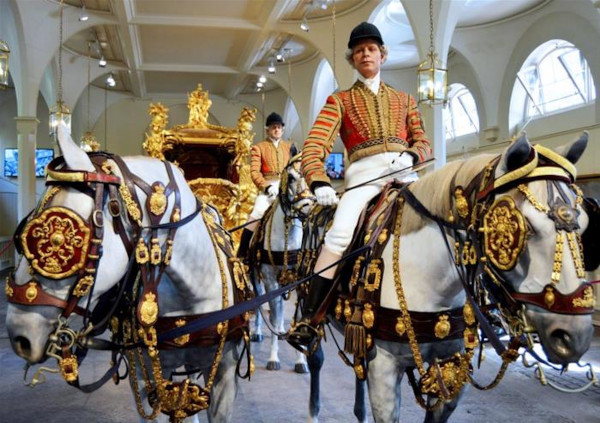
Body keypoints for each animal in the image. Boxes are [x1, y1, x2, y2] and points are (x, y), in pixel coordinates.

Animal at [250, 154, 314, 372]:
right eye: (292, 177)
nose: (307, 207)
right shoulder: (271, 281)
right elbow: (275, 314)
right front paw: (273, 357)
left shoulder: (301, 282)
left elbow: (298, 317)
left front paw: (300, 360)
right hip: (257, 278)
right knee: (260, 303)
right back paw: (258, 332)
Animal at [302, 135, 592, 423]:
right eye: (525, 227)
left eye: (585, 224)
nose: (574, 335)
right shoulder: (384, 367)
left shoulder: (451, 367)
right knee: (315, 356)